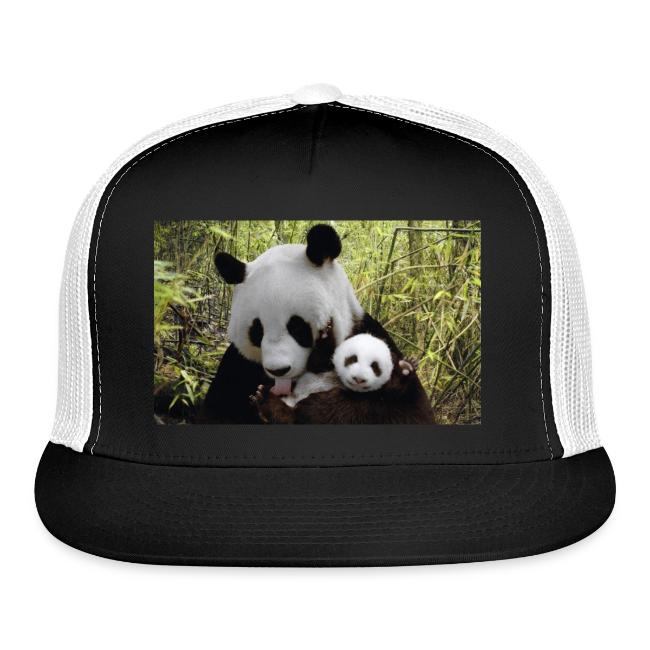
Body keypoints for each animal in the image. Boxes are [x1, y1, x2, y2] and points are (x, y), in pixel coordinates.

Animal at [249, 333, 435, 425]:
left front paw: (406, 368)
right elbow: (316, 360)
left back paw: (266, 400)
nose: (358, 379)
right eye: (353, 358)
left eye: (375, 366)